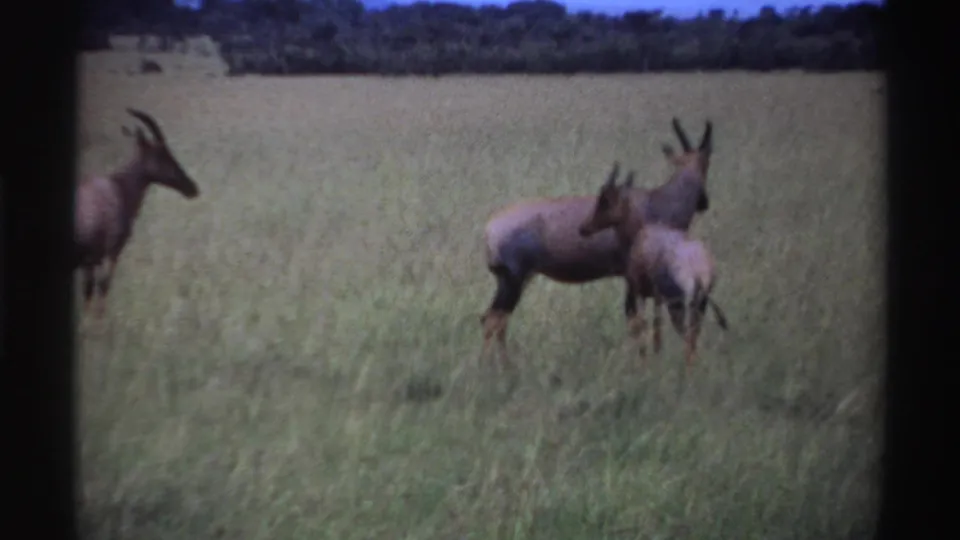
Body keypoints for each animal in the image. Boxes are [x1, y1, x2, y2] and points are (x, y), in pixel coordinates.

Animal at [74, 108, 200, 319]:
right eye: (162, 154)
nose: (192, 188)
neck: (117, 188)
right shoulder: (108, 254)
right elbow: (100, 289)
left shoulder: (92, 262)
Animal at [479, 118, 714, 369]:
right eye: (707, 162)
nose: (704, 203)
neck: (658, 201)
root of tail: (491, 226)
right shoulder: (636, 278)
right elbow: (637, 321)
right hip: (513, 281)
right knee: (493, 320)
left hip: (516, 281)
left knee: (495, 320)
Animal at [578, 167, 729, 372]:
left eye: (605, 200)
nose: (583, 228)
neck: (643, 232)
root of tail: (698, 271)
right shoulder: (656, 298)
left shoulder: (642, 293)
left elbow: (647, 327)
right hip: (699, 305)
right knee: (694, 337)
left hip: (678, 306)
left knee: (687, 337)